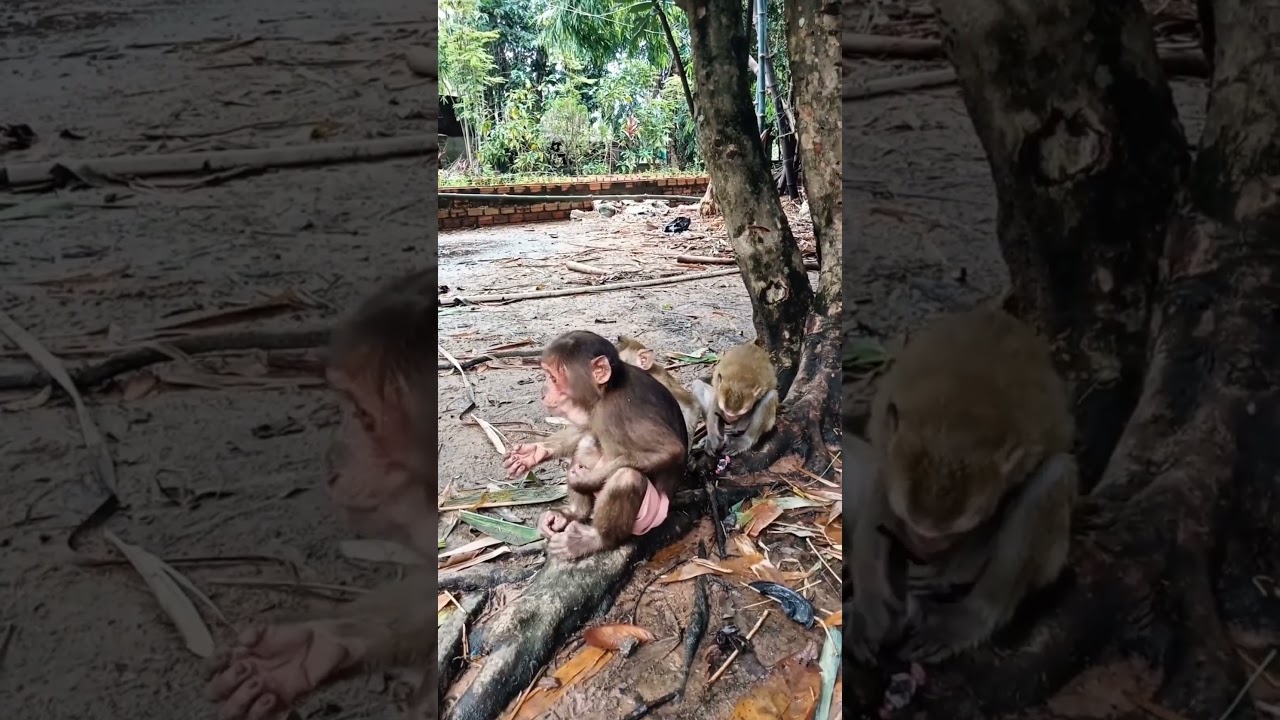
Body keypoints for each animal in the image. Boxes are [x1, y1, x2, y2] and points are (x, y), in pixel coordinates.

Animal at [502, 330, 689, 560]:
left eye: (553, 378)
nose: (543, 393)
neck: (608, 390)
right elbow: (585, 429)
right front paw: (534, 452)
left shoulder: (621, 409)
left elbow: (671, 450)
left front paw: (583, 480)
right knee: (587, 442)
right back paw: (573, 513)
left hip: (649, 516)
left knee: (627, 476)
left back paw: (596, 539)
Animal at [845, 306, 1078, 665]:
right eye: (914, 526)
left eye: (949, 534)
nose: (924, 549)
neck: (953, 430)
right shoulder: (888, 441)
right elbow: (881, 489)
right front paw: (870, 607)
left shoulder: (1023, 455)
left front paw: (946, 571)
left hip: (1053, 557)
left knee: (1055, 474)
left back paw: (971, 616)